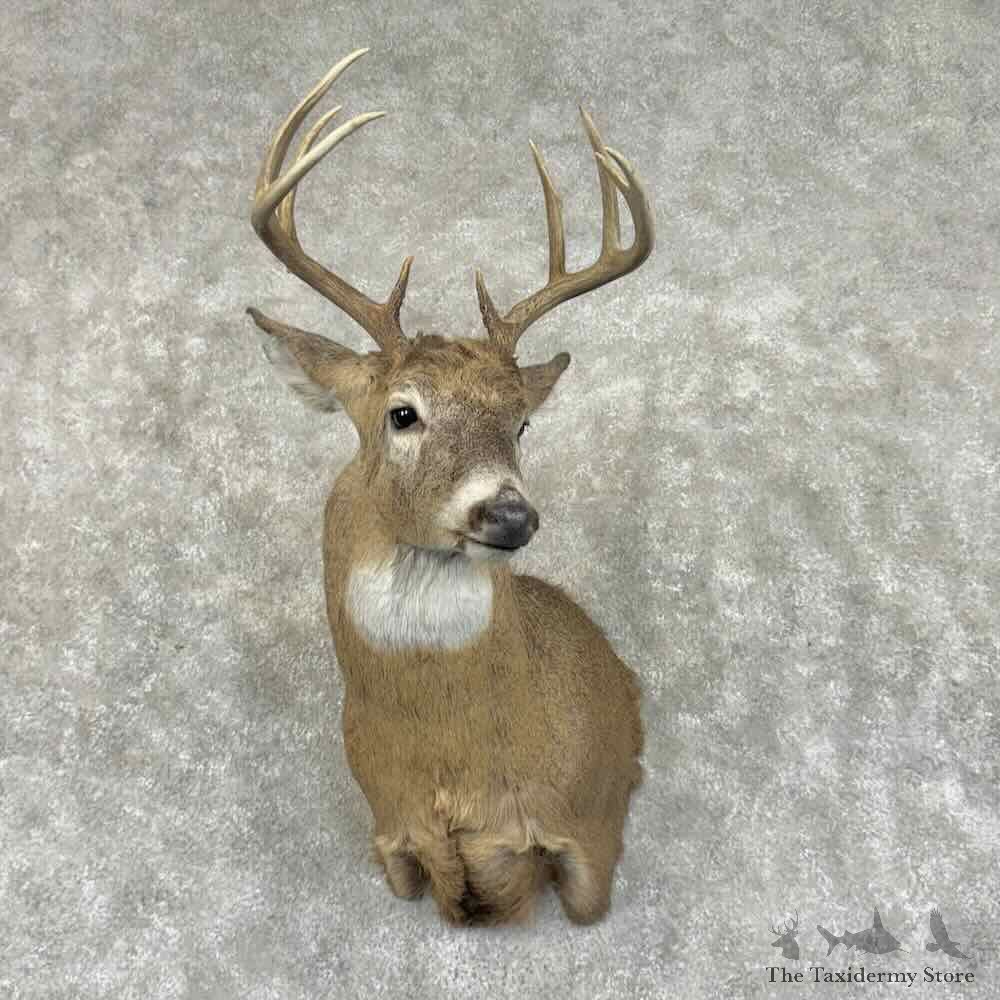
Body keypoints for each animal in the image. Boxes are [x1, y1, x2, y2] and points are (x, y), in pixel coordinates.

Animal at [245, 47, 653, 926]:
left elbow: (584, 896)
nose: (510, 512)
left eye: (522, 424)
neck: (453, 782)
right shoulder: (389, 839)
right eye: (403, 413)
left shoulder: (591, 829)